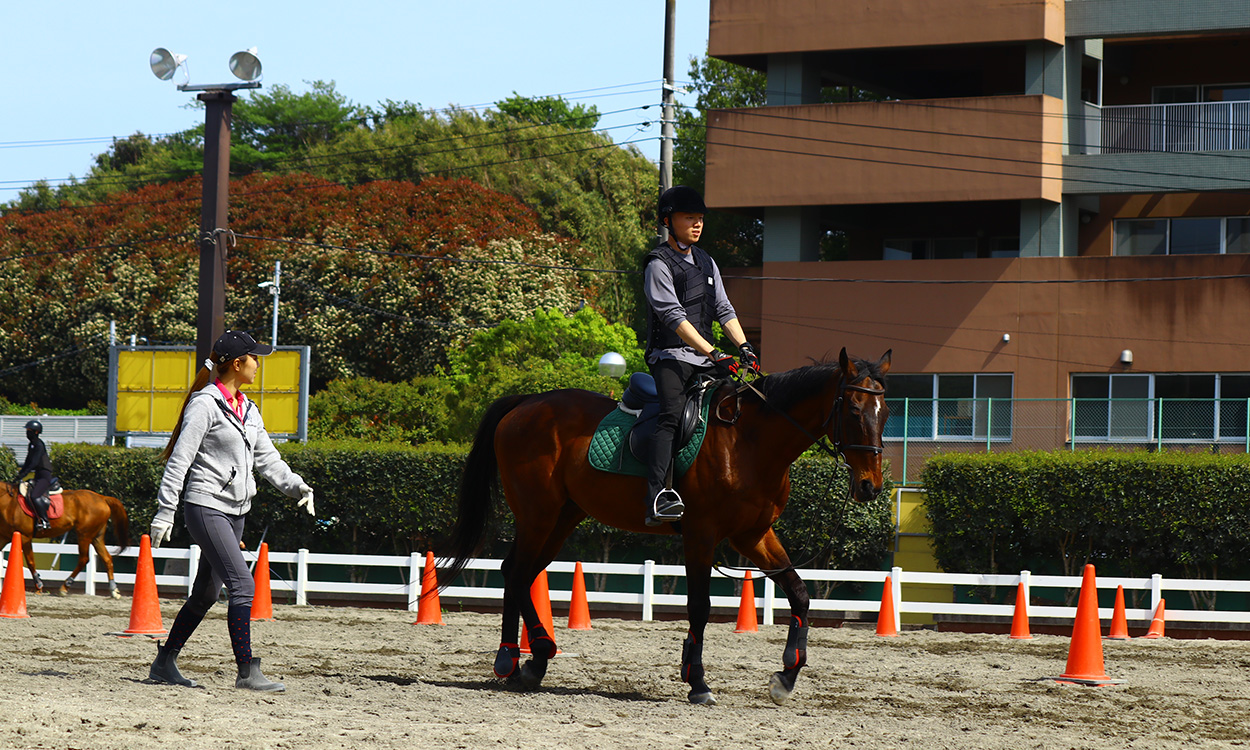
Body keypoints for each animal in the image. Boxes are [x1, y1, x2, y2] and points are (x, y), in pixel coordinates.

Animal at [0, 487, 131, 597]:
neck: (8, 504)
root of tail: (101, 497)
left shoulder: (24, 537)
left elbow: (31, 562)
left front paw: (39, 587)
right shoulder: (4, 537)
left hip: (84, 535)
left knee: (84, 559)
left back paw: (65, 587)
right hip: (96, 537)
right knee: (107, 558)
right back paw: (114, 590)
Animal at [445, 347, 895, 705]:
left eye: (886, 412)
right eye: (854, 410)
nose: (870, 486)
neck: (750, 441)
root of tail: (528, 402)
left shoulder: (753, 535)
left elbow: (800, 595)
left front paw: (786, 676)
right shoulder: (701, 534)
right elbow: (700, 606)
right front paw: (698, 682)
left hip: (562, 517)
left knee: (519, 573)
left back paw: (526, 662)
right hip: (538, 514)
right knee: (517, 572)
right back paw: (518, 657)